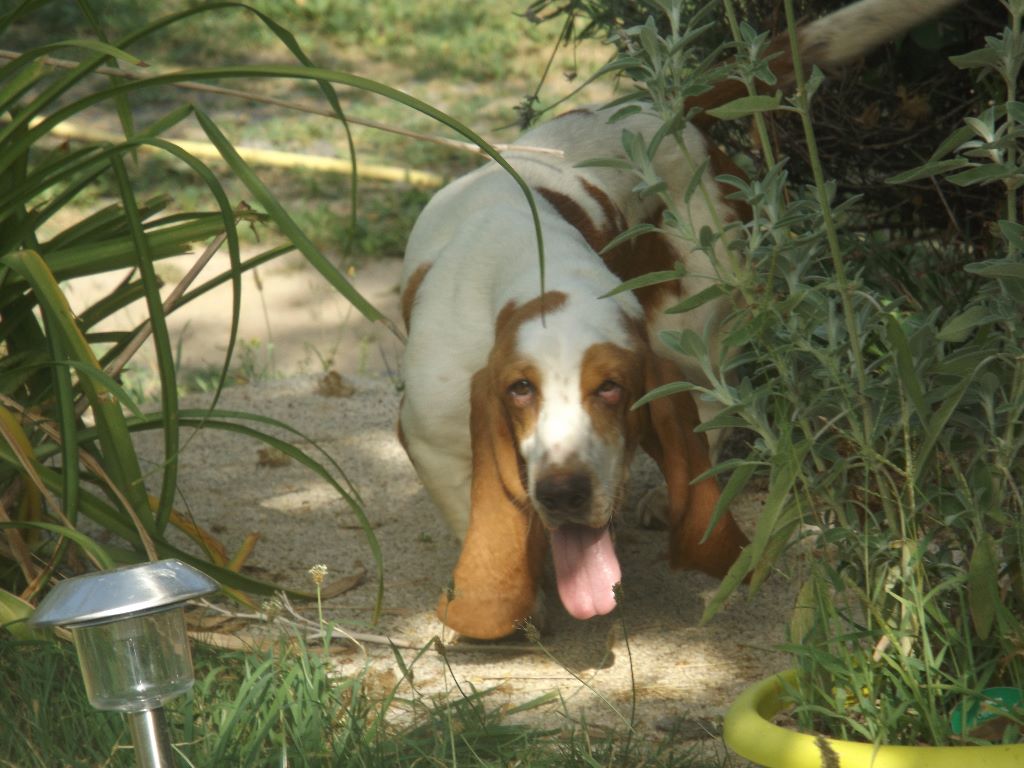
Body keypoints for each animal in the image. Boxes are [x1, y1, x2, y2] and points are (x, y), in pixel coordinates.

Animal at [397, 0, 958, 638]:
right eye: (520, 390)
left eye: (612, 389)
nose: (565, 493)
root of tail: (667, 109)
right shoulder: (432, 437)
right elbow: (472, 510)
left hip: (694, 317)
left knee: (714, 403)